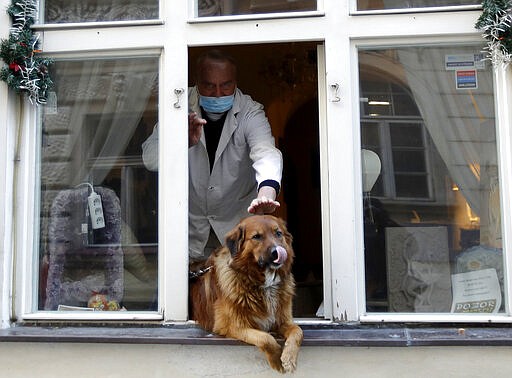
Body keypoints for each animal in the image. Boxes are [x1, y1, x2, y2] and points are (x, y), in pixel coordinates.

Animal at [191, 216, 304, 372]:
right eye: (256, 237)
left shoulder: (282, 321)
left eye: (278, 233)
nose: (277, 252)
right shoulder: (231, 326)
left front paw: (289, 358)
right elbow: (265, 338)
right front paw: (276, 359)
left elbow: (298, 331)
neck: (263, 283)